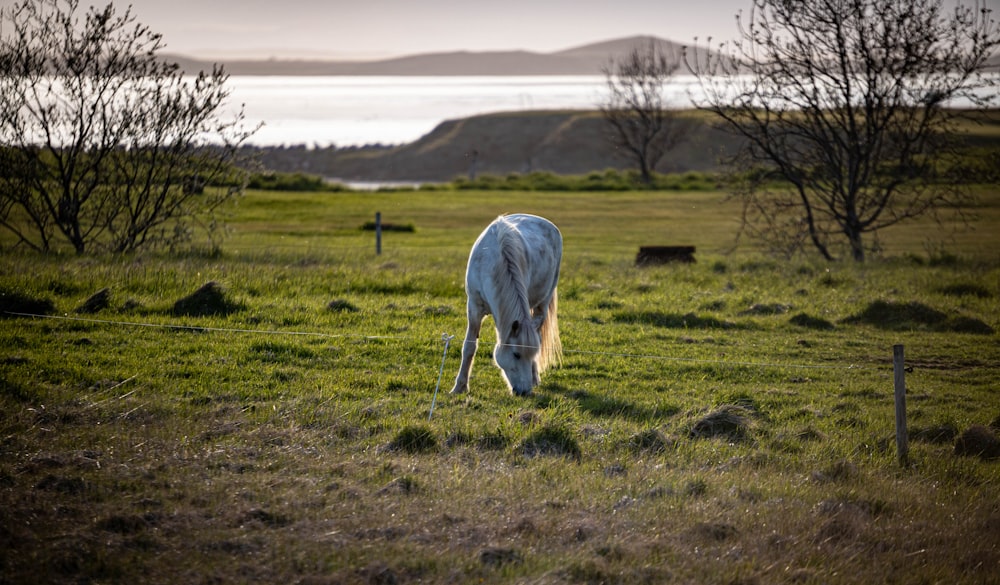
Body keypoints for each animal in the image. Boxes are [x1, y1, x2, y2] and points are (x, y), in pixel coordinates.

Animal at [452, 214, 564, 396]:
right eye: (516, 354)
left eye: (529, 354)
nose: (525, 392)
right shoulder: (474, 307)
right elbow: (469, 347)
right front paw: (459, 387)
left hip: (543, 301)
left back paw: (535, 378)